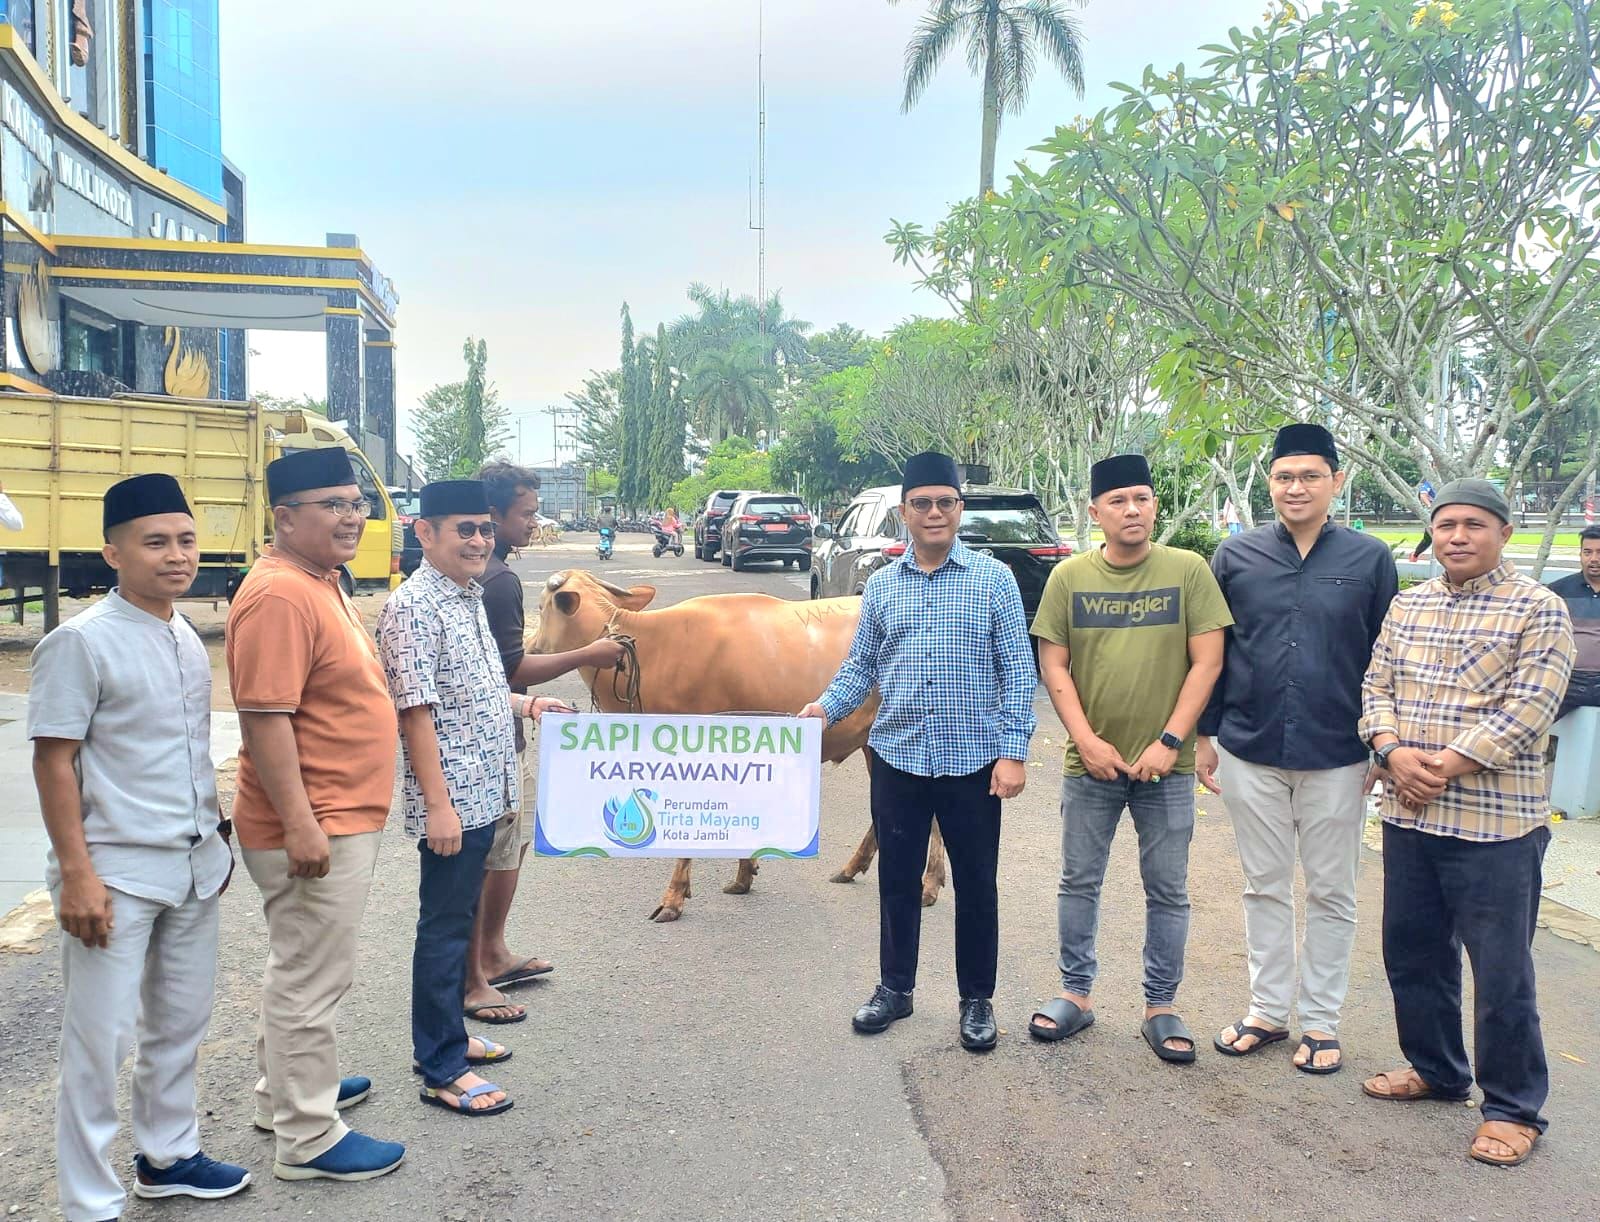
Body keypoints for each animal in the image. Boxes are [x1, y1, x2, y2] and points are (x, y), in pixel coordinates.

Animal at [531, 569, 940, 921]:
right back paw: (854, 867)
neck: (656, 649)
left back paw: (928, 884)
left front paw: (673, 897)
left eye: (541, 606)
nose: (529, 646)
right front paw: (744, 873)